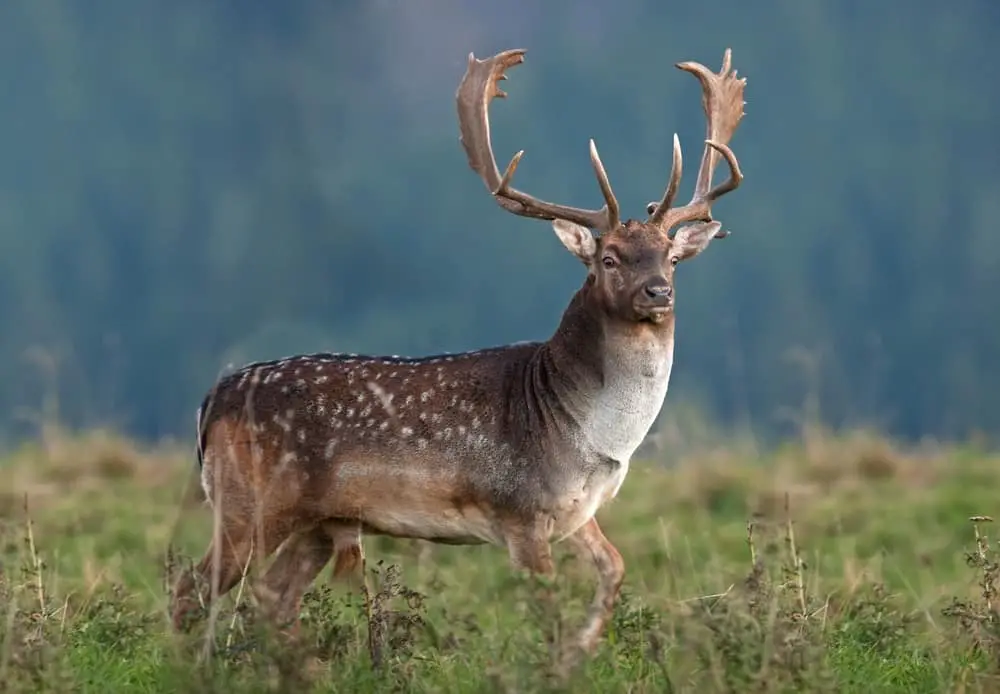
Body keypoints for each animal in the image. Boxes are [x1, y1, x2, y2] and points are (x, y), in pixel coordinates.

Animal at [170, 44, 744, 676]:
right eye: (610, 259)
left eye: (671, 255)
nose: (658, 292)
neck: (589, 435)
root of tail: (210, 402)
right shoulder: (520, 510)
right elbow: (547, 608)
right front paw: (556, 666)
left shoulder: (576, 510)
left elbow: (614, 570)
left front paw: (582, 652)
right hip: (249, 502)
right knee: (190, 589)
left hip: (317, 524)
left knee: (272, 597)